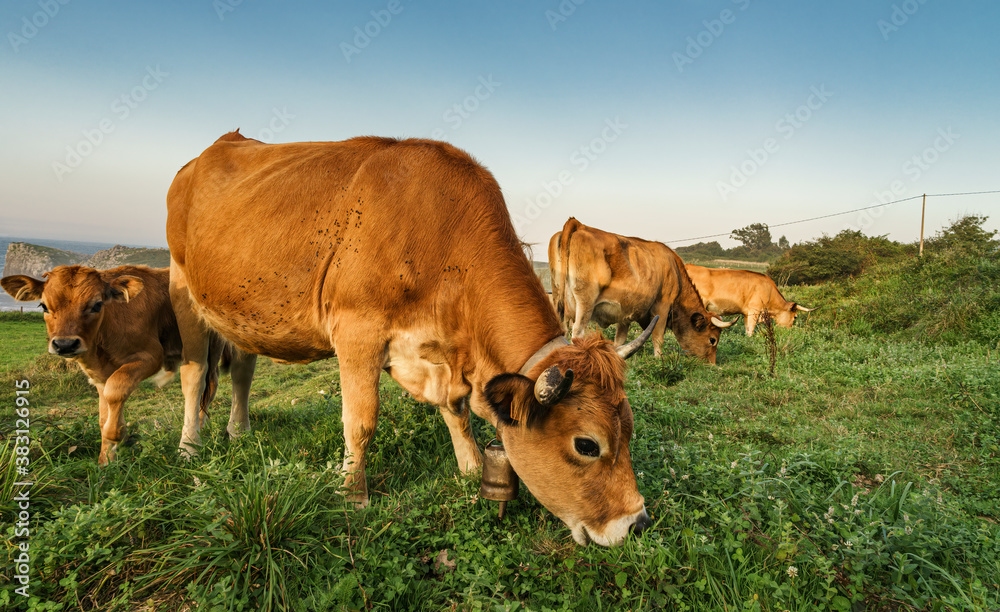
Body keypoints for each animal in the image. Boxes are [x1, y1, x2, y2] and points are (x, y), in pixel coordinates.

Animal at [1, 264, 221, 464]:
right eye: (44, 306)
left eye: (97, 305)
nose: (65, 344)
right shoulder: (100, 375)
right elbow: (103, 414)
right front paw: (106, 461)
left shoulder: (150, 356)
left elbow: (116, 390)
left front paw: (117, 436)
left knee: (208, 386)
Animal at [166, 131, 656, 548]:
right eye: (587, 445)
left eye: (630, 428)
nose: (636, 523)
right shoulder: (357, 330)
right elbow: (361, 422)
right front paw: (353, 496)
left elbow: (457, 411)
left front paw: (470, 467)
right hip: (181, 287)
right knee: (194, 375)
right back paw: (190, 446)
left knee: (242, 370)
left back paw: (239, 430)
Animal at [548, 219, 736, 364]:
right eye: (712, 340)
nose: (712, 364)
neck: (674, 269)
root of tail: (579, 225)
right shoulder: (662, 304)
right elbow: (658, 335)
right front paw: (659, 359)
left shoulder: (624, 311)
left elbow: (620, 339)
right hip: (585, 302)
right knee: (577, 333)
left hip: (558, 299)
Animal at [684, 264, 816, 338]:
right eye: (795, 317)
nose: (789, 332)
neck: (769, 290)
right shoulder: (754, 310)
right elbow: (751, 329)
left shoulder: (746, 313)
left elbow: (747, 329)